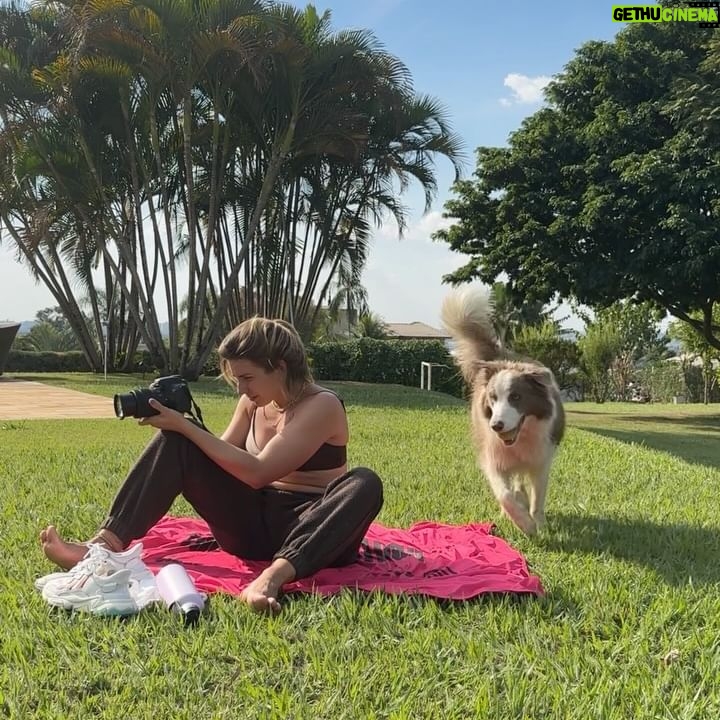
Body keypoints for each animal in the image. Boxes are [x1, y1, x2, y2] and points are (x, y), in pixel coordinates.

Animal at [441, 286, 565, 535]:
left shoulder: (542, 459)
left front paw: (538, 524)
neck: (520, 439)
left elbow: (538, 499)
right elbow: (504, 494)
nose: (496, 425)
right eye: (493, 398)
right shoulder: (493, 457)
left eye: (516, 397)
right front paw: (523, 523)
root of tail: (502, 357)